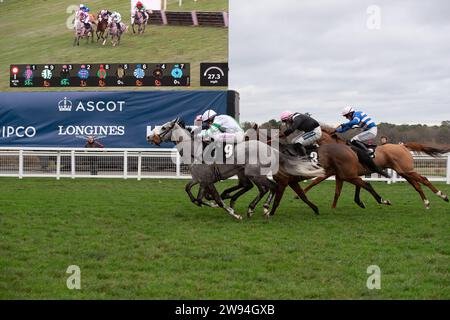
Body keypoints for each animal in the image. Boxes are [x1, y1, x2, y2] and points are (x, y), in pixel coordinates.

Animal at [304, 129, 448, 209]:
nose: (307, 150)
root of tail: (402, 146)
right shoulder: (337, 173)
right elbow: (325, 186)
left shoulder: (343, 173)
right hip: (403, 172)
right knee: (417, 185)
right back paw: (427, 202)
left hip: (407, 170)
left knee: (424, 179)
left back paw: (442, 195)